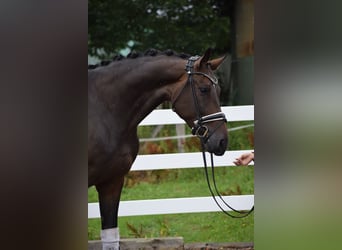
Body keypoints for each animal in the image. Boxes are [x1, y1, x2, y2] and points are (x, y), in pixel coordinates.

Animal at [88, 47, 227, 249]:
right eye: (204, 89)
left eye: (219, 90)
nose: (222, 141)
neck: (104, 109)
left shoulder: (111, 182)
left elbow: (110, 237)